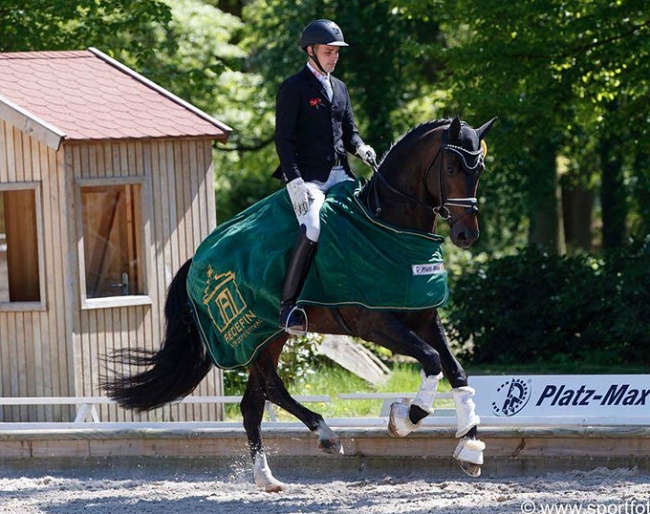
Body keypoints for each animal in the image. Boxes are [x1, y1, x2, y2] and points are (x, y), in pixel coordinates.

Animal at [104, 114, 494, 490]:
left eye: (478, 170)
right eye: (451, 168)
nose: (466, 234)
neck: (388, 225)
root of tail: (197, 260)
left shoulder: (424, 319)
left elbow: (456, 372)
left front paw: (470, 447)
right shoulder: (375, 324)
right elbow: (431, 361)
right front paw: (405, 417)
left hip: (266, 337)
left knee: (255, 401)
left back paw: (273, 474)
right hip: (253, 337)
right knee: (266, 391)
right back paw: (317, 440)